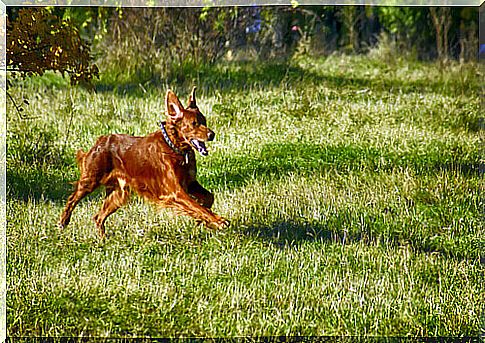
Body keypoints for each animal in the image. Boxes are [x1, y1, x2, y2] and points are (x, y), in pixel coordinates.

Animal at [58, 87, 229, 238]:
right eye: (194, 123)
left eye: (204, 121)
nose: (212, 134)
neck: (174, 148)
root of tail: (100, 141)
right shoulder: (176, 191)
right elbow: (197, 206)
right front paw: (218, 221)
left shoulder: (190, 183)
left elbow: (208, 198)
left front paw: (204, 221)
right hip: (91, 180)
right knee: (72, 199)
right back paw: (63, 222)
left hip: (119, 194)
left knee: (98, 217)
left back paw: (103, 240)